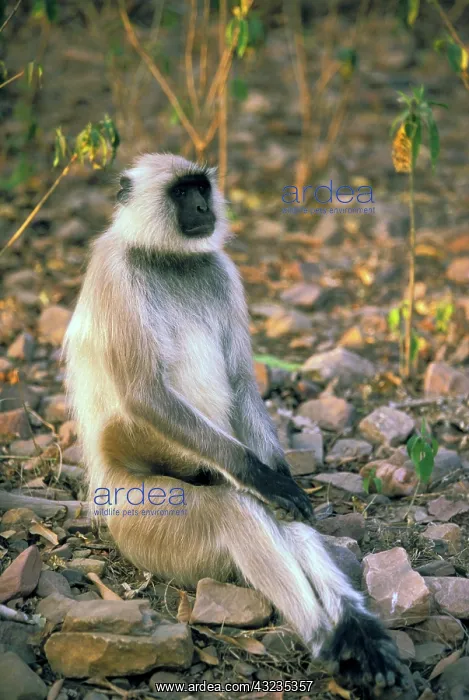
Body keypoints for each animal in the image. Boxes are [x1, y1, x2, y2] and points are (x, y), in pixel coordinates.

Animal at [63, 153, 407, 695]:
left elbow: (244, 381)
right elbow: (144, 394)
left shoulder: (220, 269)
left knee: (274, 515)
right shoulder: (116, 272)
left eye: (201, 188)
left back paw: (355, 630)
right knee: (233, 509)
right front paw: (258, 476)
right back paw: (327, 639)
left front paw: (278, 479)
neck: (169, 258)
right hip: (140, 515)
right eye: (182, 193)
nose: (204, 207)